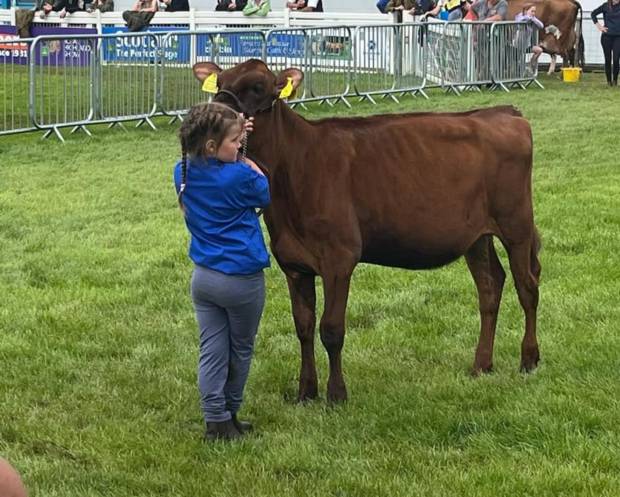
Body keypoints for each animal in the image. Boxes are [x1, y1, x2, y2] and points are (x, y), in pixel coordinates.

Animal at [191, 59, 540, 404]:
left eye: (258, 87)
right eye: (219, 82)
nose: (216, 113)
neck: (293, 171)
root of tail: (504, 113)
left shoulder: (339, 258)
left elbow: (331, 329)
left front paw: (336, 395)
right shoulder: (293, 263)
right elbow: (303, 327)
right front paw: (306, 392)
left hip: (516, 223)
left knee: (527, 286)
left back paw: (529, 360)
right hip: (476, 236)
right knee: (490, 286)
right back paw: (482, 364)